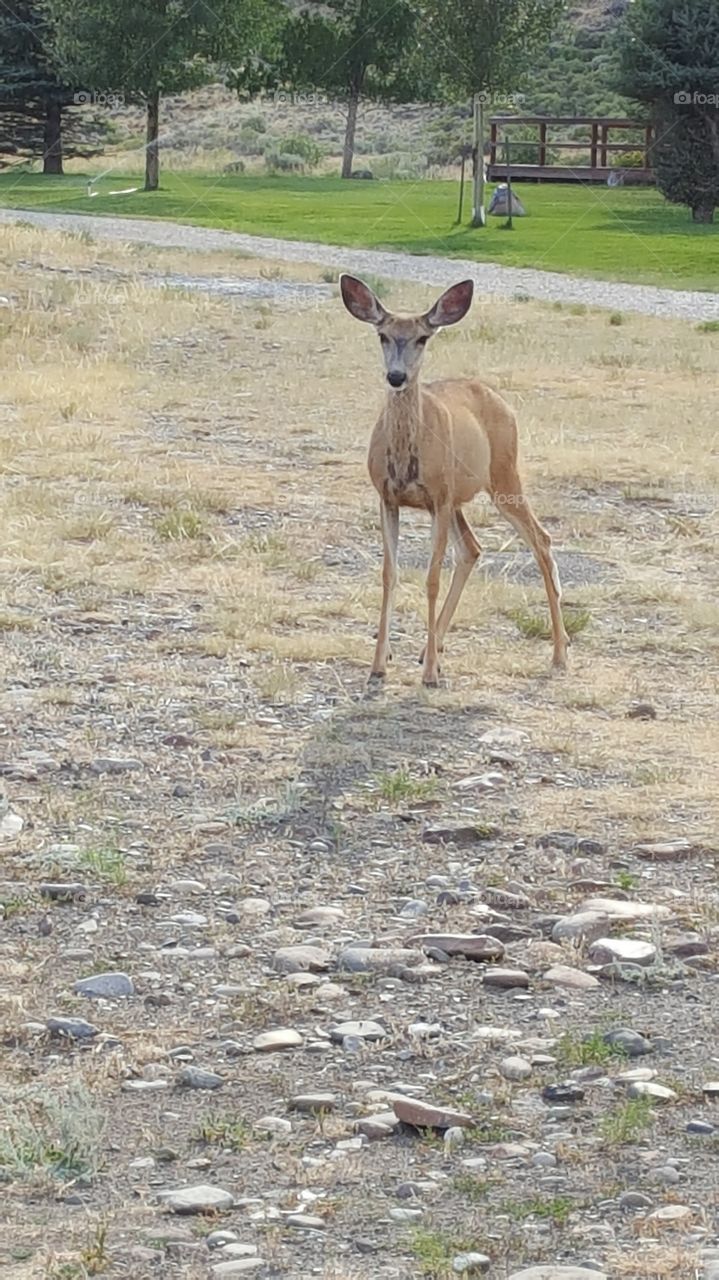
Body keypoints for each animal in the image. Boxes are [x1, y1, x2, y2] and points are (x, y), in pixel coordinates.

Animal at [339, 273, 569, 687]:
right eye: (382, 335)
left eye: (422, 338)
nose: (396, 376)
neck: (406, 459)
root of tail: (501, 400)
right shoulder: (388, 497)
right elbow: (389, 573)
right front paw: (379, 665)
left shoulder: (439, 497)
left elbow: (431, 577)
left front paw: (430, 674)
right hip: (460, 496)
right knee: (473, 549)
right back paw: (430, 648)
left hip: (502, 475)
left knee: (540, 540)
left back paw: (560, 654)